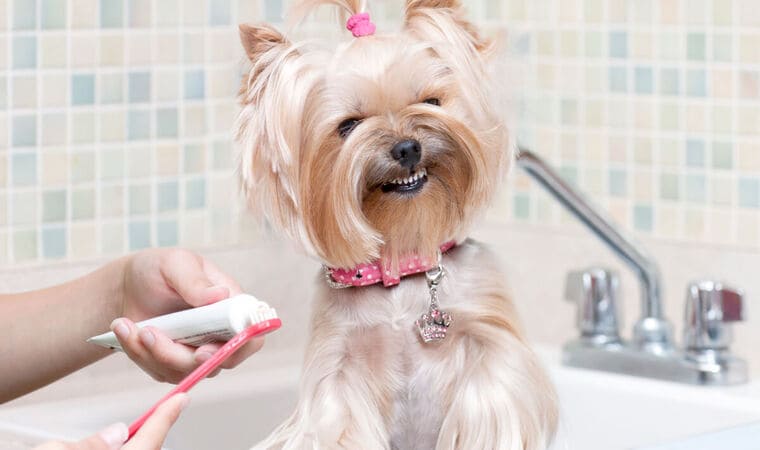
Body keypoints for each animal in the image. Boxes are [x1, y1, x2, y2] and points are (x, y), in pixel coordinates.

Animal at [236, 1, 560, 448]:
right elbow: (338, 424)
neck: (401, 258)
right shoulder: (338, 364)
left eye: (432, 101)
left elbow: (491, 398)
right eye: (349, 125)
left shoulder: (490, 338)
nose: (407, 147)